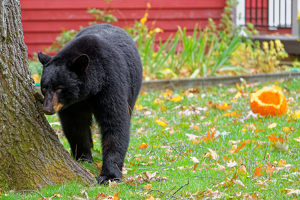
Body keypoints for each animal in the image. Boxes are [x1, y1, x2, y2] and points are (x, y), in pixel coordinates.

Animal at [37, 23, 143, 184]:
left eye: (59, 88)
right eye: (44, 87)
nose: (47, 108)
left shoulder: (111, 84)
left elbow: (115, 122)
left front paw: (109, 175)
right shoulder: (73, 105)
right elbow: (76, 125)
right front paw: (83, 158)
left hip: (133, 87)